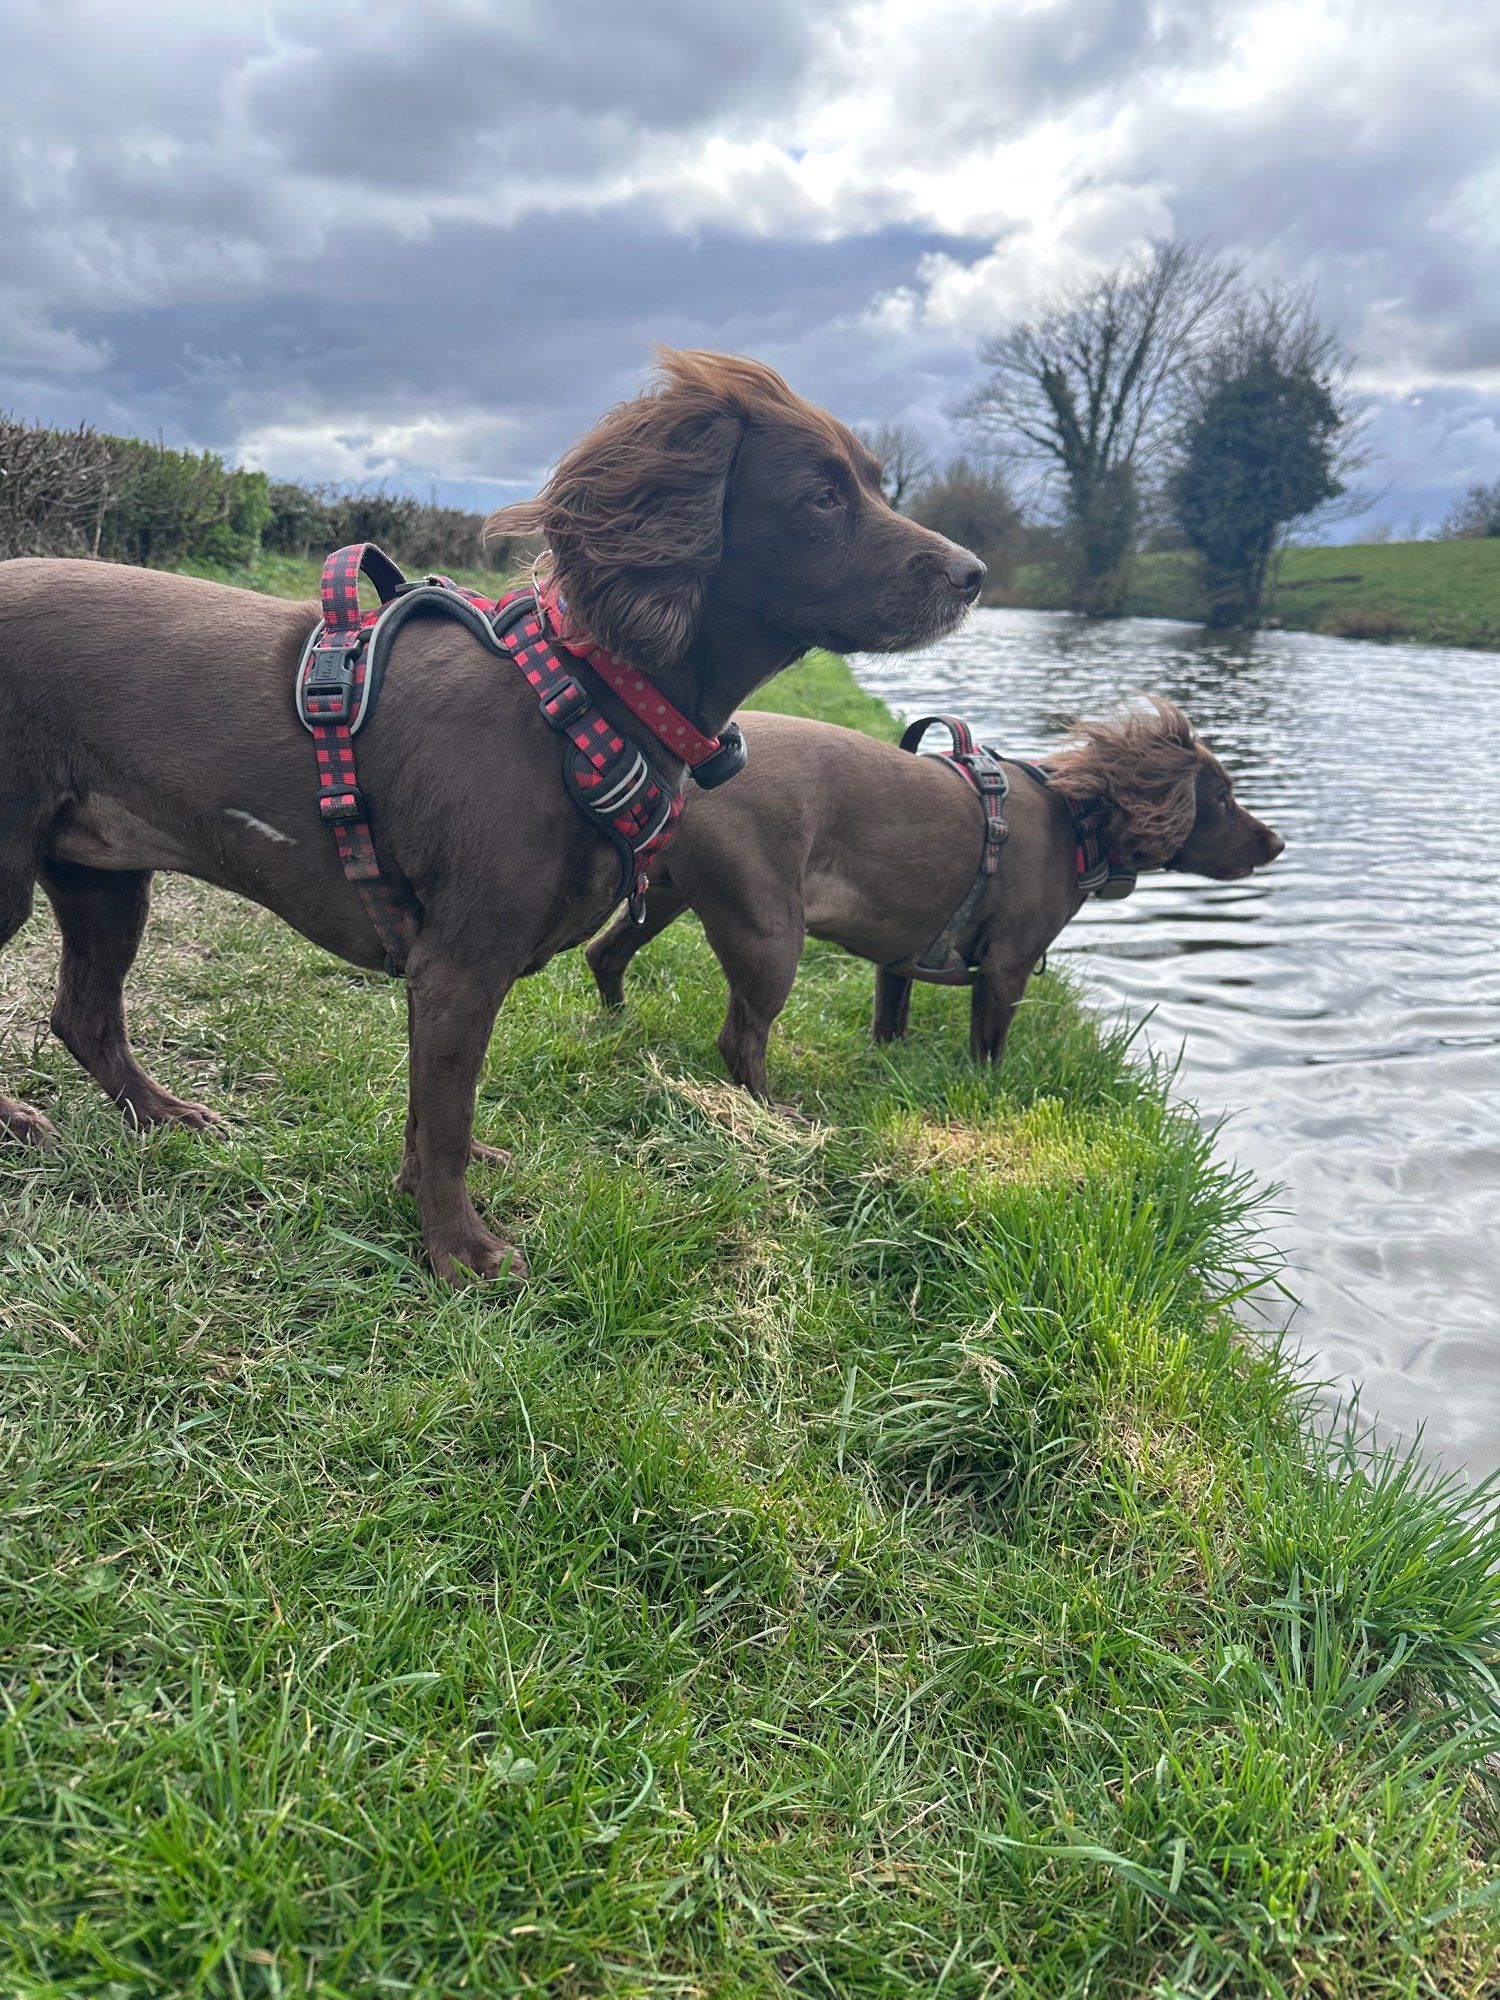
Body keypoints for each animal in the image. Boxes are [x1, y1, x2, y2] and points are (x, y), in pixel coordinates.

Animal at [0, 350, 988, 1272]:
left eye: (875, 483)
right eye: (821, 496)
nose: (974, 573)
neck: (583, 696)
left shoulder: (442, 971)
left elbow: (432, 1113)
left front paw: (432, 1196)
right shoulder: (459, 964)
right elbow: (444, 1115)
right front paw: (459, 1249)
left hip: (103, 878)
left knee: (85, 1017)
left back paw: (160, 1114)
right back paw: (23, 1119)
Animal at [588, 696, 1280, 1104]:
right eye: (1221, 797)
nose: (1276, 843)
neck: (1077, 817)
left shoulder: (897, 959)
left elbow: (889, 1027)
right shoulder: (1005, 969)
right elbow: (989, 1053)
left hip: (668, 895)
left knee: (605, 955)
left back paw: (618, 1025)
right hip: (768, 932)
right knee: (741, 1040)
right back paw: (772, 1112)